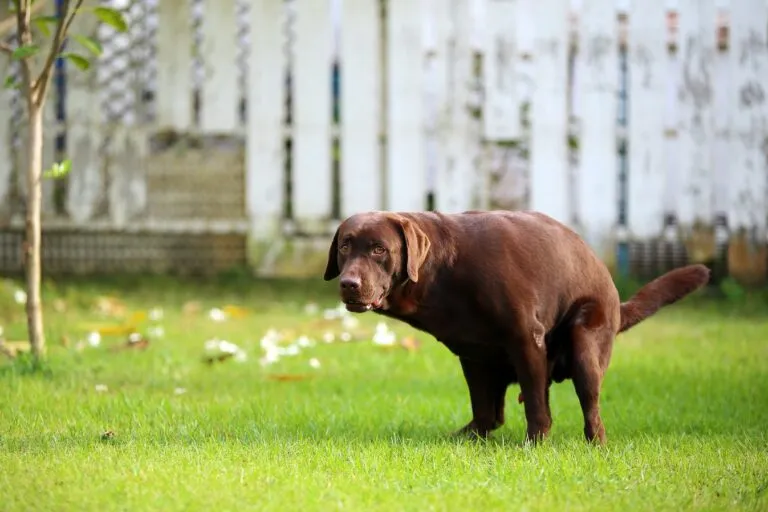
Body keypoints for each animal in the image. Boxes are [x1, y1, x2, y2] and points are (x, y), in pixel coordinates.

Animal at [320, 211, 712, 444]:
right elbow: (484, 409)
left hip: (586, 341)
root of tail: (616, 299)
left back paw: (594, 444)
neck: (444, 271)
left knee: (591, 408)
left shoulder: (526, 339)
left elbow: (537, 405)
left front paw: (535, 444)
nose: (348, 284)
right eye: (344, 246)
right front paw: (469, 438)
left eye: (379, 250)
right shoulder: (473, 355)